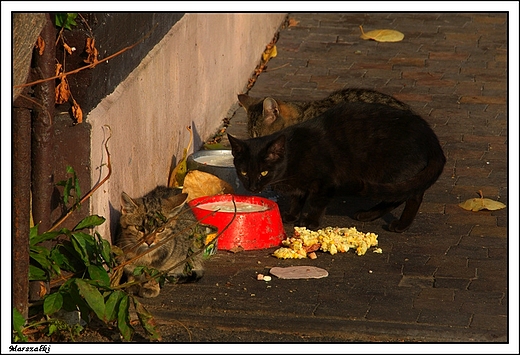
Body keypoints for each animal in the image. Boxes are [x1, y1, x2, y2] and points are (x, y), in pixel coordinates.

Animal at [229, 101, 446, 232]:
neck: (293, 155)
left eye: (264, 172)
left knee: (411, 195)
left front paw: (310, 222)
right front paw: (291, 215)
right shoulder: (300, 185)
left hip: (390, 171)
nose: (252, 187)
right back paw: (368, 215)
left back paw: (401, 224)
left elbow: (316, 202)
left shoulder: (326, 181)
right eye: (244, 172)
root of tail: (431, 137)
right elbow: (297, 198)